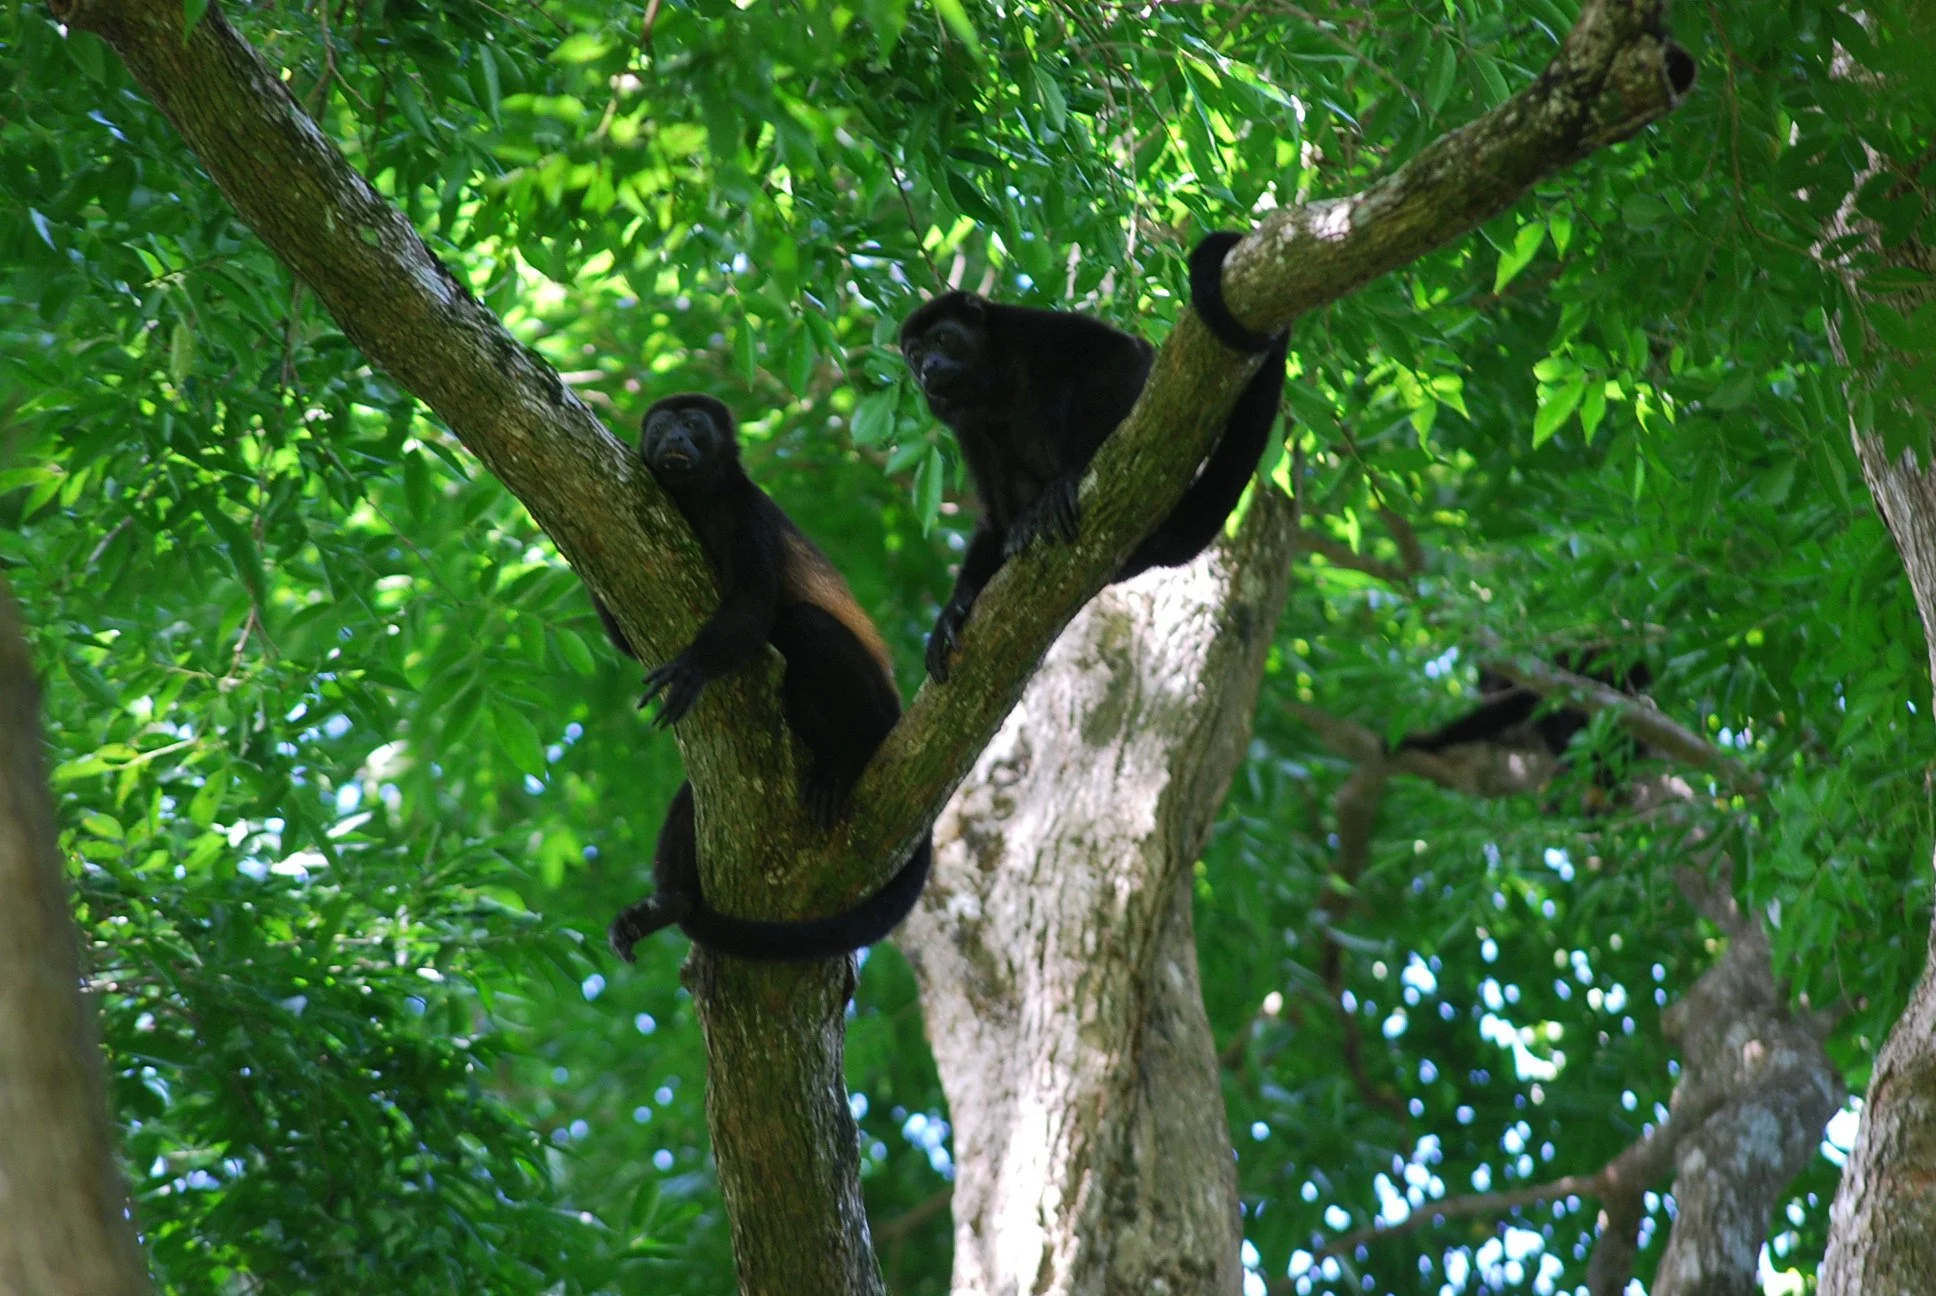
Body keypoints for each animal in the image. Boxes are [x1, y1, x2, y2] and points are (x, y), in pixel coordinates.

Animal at [591, 393, 932, 963]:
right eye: (660, 427)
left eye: (692, 424)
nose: (673, 440)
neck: (698, 500)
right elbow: (627, 639)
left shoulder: (744, 511)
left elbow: (753, 604)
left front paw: (693, 667)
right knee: (690, 798)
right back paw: (669, 904)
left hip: (880, 707)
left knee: (804, 625)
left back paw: (850, 756)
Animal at [898, 231, 1290, 683]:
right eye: (913, 355)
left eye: (941, 339)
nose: (927, 367)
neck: (990, 383)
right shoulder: (964, 423)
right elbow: (992, 517)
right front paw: (955, 607)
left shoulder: (1027, 331)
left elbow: (1121, 354)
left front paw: (1072, 474)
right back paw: (1022, 527)